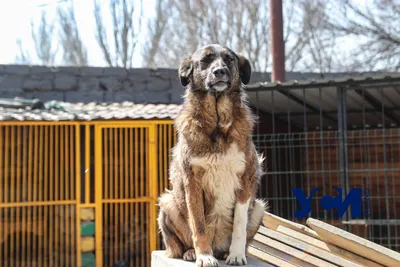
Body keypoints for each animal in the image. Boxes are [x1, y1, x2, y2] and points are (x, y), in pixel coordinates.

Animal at [158, 44, 268, 267]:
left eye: (229, 60)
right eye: (205, 61)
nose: (220, 71)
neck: (218, 124)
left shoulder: (247, 177)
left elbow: (239, 223)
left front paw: (236, 255)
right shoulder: (192, 182)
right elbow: (198, 224)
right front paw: (204, 256)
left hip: (259, 208)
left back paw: (226, 253)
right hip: (167, 202)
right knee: (177, 245)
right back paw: (192, 252)